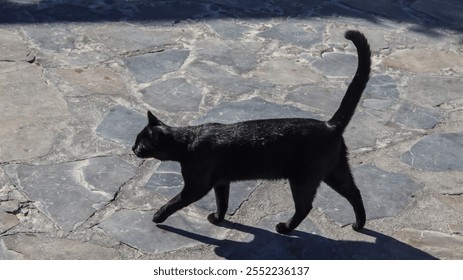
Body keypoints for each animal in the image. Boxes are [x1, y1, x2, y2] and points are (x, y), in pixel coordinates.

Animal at [132, 30, 372, 234]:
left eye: (140, 142)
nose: (132, 148)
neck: (188, 142)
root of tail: (329, 124)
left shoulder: (196, 186)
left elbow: (174, 202)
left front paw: (157, 216)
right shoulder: (221, 182)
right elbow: (222, 203)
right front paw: (217, 220)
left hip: (303, 180)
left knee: (305, 207)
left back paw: (285, 228)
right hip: (336, 173)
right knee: (355, 192)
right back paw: (359, 224)